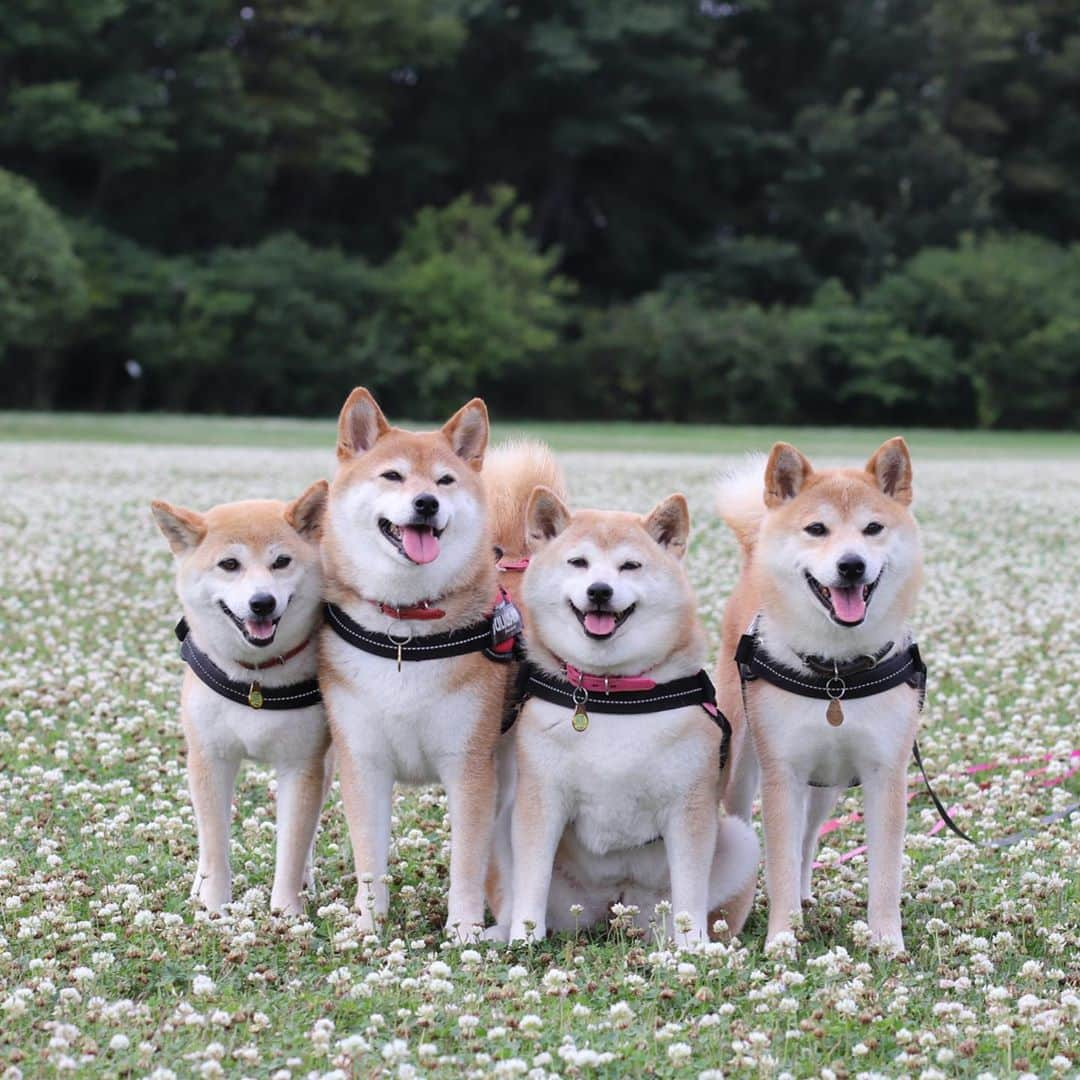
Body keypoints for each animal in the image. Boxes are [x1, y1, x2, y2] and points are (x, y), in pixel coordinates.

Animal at [150, 486, 330, 915]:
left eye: (281, 562)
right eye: (229, 564)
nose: (262, 602)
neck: (255, 680)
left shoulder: (302, 764)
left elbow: (293, 845)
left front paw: (286, 913)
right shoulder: (210, 759)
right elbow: (215, 845)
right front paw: (213, 907)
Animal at [315, 386, 544, 937]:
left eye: (444, 480)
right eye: (393, 476)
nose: (427, 502)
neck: (406, 628)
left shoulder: (468, 766)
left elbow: (466, 863)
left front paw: (462, 931)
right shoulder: (364, 762)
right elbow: (369, 860)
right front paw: (368, 927)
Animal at [505, 490, 760, 946]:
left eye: (630, 566)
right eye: (578, 562)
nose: (600, 591)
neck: (612, 693)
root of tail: (614, 904)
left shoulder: (690, 806)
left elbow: (690, 888)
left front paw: (694, 948)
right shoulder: (541, 799)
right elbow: (531, 880)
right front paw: (522, 941)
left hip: (737, 844)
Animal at [712, 436, 924, 946]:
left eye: (872, 528)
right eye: (816, 529)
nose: (851, 565)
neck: (836, 675)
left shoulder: (884, 773)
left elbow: (885, 873)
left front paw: (887, 940)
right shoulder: (782, 772)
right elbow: (780, 863)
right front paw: (782, 938)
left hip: (831, 781)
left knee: (809, 839)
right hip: (745, 765)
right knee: (755, 831)